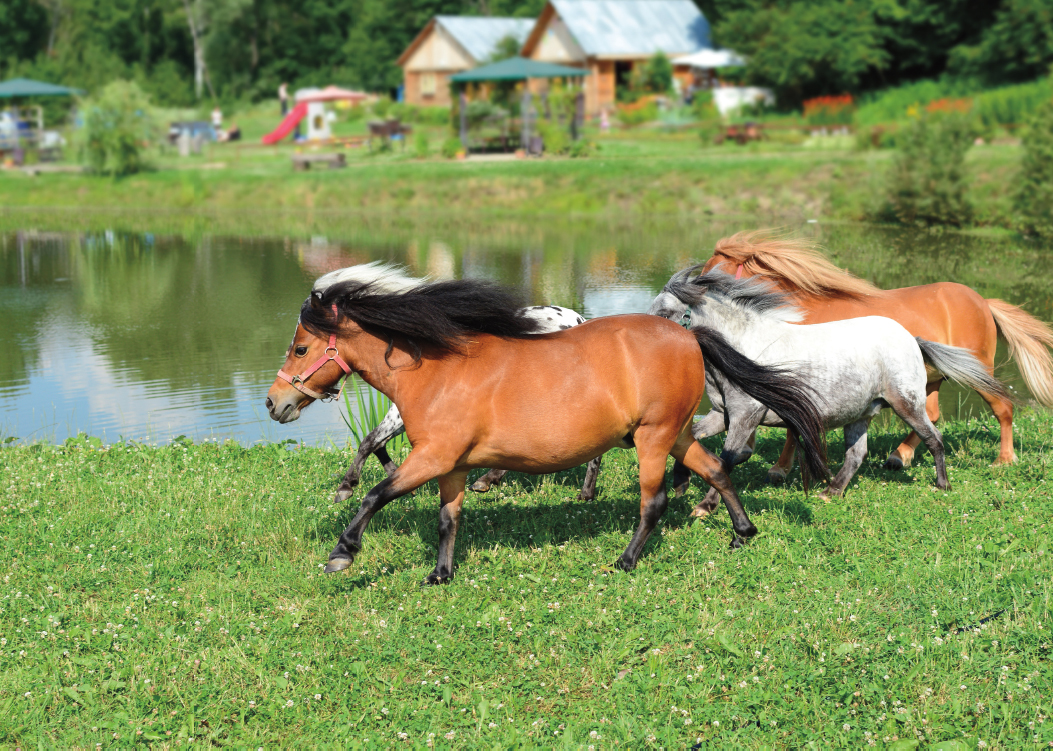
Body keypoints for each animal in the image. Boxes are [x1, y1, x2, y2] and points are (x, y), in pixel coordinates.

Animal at [265, 263, 829, 585]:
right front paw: (441, 574)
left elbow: (375, 494)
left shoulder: (432, 457)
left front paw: (342, 553)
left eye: (301, 348)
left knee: (655, 502)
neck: (437, 371)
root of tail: (690, 336)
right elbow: (448, 519)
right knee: (715, 470)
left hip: (652, 439)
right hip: (678, 434)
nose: (274, 404)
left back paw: (625, 560)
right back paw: (742, 532)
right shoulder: (452, 466)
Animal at [644, 267, 1006, 509]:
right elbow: (694, 438)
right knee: (857, 454)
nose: (649, 346)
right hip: (860, 414)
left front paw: (704, 507)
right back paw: (831, 491)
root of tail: (911, 339)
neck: (746, 347)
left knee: (934, 438)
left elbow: (727, 459)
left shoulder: (746, 417)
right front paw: (680, 483)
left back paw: (942, 484)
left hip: (907, 404)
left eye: (665, 312)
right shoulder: (723, 415)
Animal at [690, 229, 1053, 480]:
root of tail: (983, 302)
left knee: (1002, 408)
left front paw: (777, 468)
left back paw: (1004, 460)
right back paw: (898, 456)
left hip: (977, 375)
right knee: (932, 415)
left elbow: (795, 426)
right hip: (929, 378)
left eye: (707, 275)